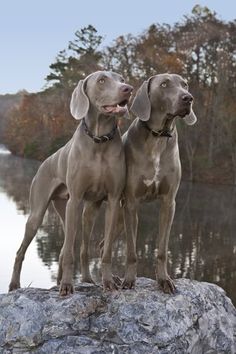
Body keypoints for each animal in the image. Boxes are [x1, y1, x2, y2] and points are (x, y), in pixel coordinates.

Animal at [8, 70, 133, 294]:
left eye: (121, 79)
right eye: (102, 80)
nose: (128, 89)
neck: (99, 140)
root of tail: (44, 161)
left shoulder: (113, 200)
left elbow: (106, 250)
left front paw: (108, 281)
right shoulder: (75, 199)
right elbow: (68, 253)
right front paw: (67, 285)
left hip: (80, 211)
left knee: (77, 247)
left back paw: (86, 279)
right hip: (39, 213)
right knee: (24, 250)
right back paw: (15, 285)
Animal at [121, 72, 197, 294]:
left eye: (185, 84)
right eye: (164, 85)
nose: (188, 98)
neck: (156, 137)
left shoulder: (168, 203)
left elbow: (162, 249)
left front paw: (164, 280)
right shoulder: (131, 203)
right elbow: (131, 250)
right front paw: (129, 280)